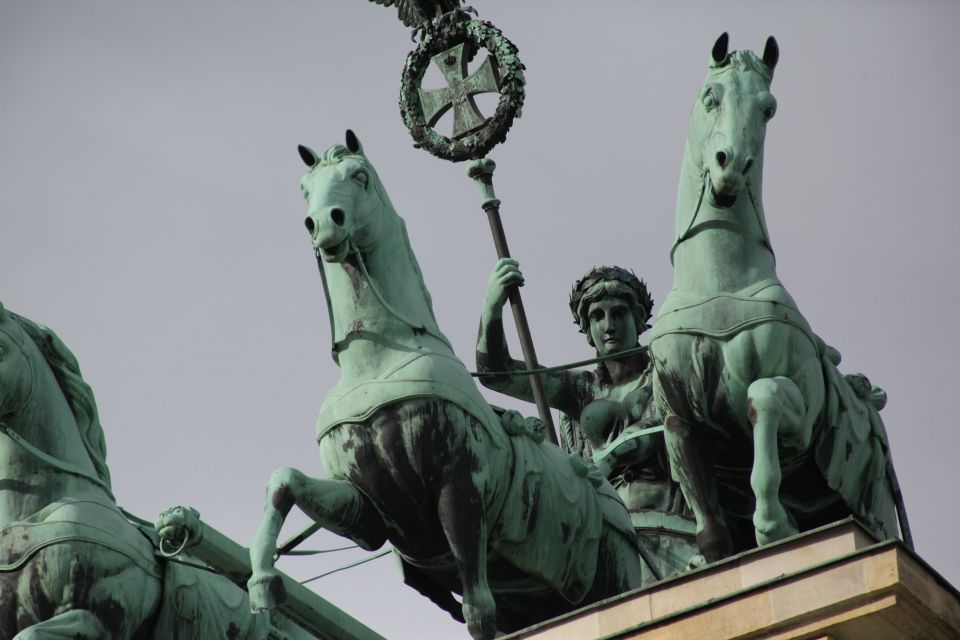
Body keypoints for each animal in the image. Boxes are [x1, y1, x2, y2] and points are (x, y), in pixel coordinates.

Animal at [248, 130, 644, 640]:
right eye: (303, 189)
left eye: (359, 176)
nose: (323, 224)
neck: (377, 363)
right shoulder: (368, 509)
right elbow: (285, 481)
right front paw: (262, 580)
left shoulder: (459, 486)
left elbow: (478, 610)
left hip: (613, 577)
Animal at [648, 35, 904, 564]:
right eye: (711, 95)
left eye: (768, 108)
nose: (729, 166)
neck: (719, 283)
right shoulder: (680, 422)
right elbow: (712, 533)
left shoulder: (802, 420)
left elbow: (761, 396)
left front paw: (773, 524)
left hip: (876, 507)